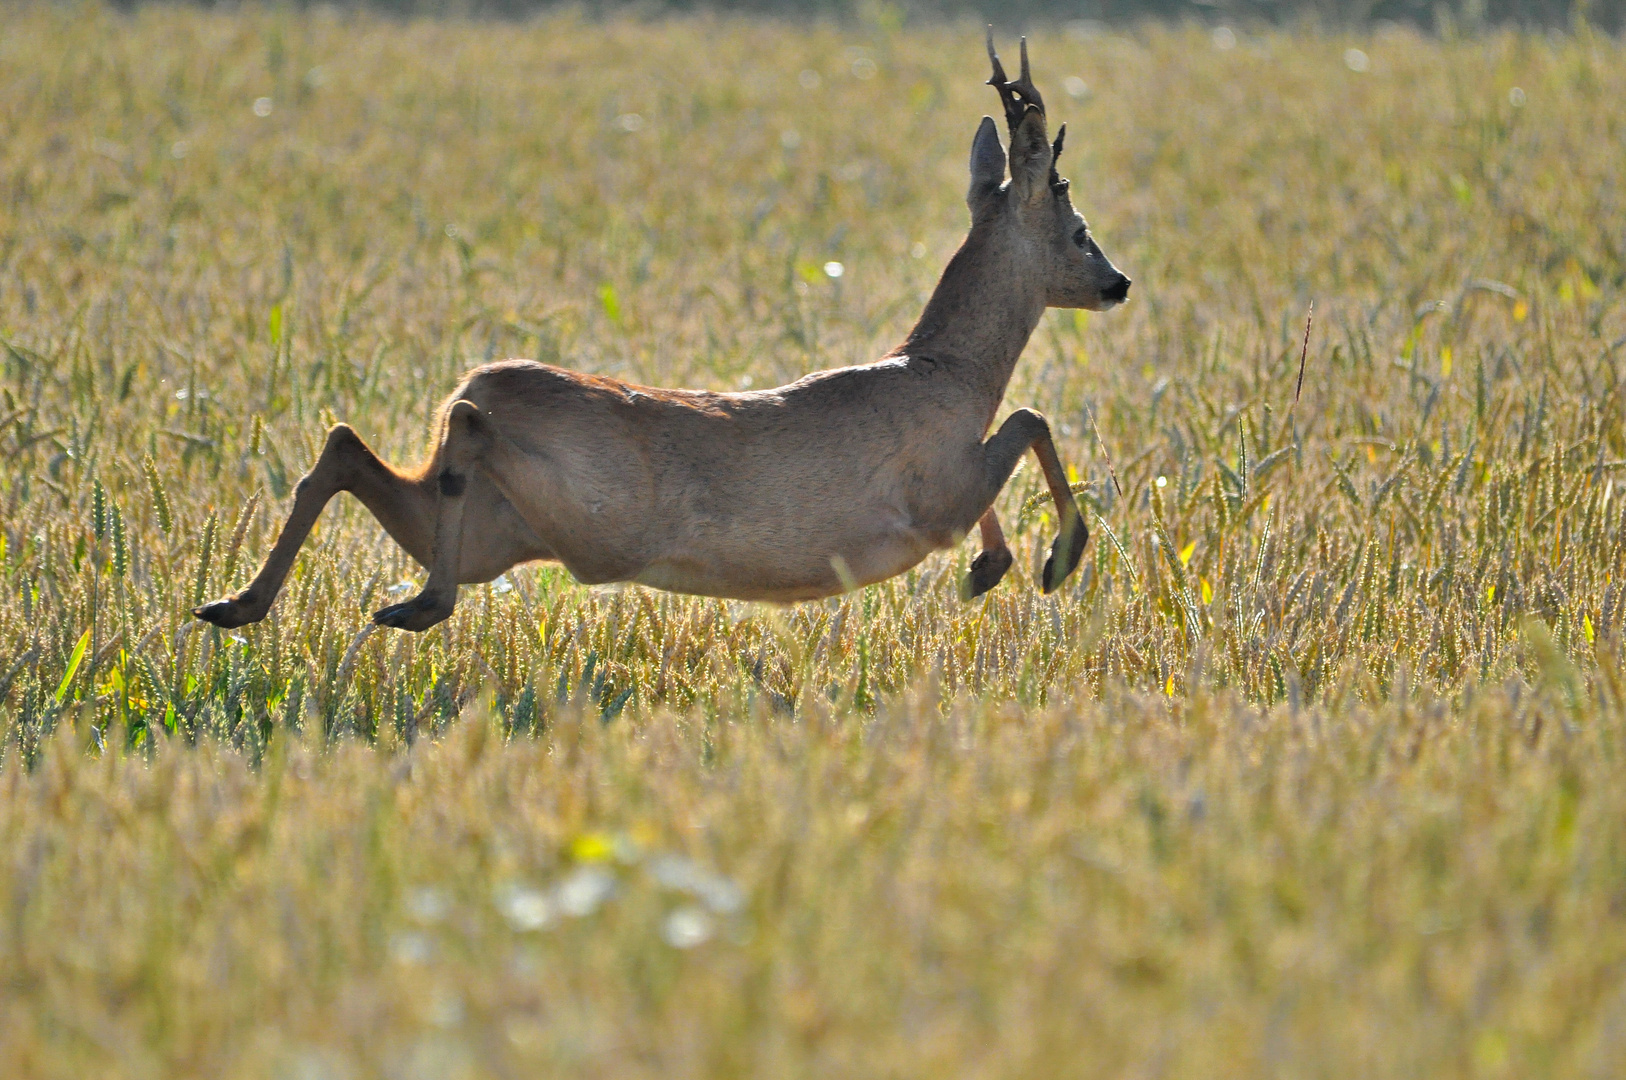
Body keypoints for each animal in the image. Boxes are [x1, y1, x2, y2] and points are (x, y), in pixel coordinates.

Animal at [193, 33, 1131, 634]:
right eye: (1080, 228)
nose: (1117, 283)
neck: (947, 371)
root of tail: (475, 381)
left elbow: (1022, 433)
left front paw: (993, 568)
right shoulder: (936, 497)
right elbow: (1031, 420)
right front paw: (1054, 560)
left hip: (506, 530)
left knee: (350, 449)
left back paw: (242, 604)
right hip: (583, 506)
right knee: (450, 433)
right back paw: (414, 604)